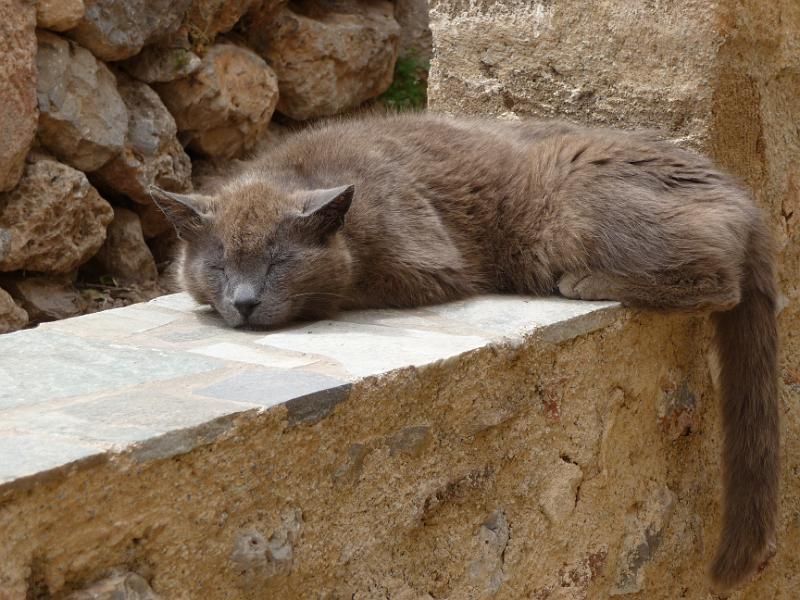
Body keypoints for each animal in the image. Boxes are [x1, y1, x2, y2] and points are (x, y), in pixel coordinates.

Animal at [153, 113, 780, 592]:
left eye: (279, 261)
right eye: (219, 264)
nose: (244, 301)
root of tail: (747, 202)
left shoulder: (425, 265)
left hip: (572, 194)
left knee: (718, 279)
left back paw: (585, 282)